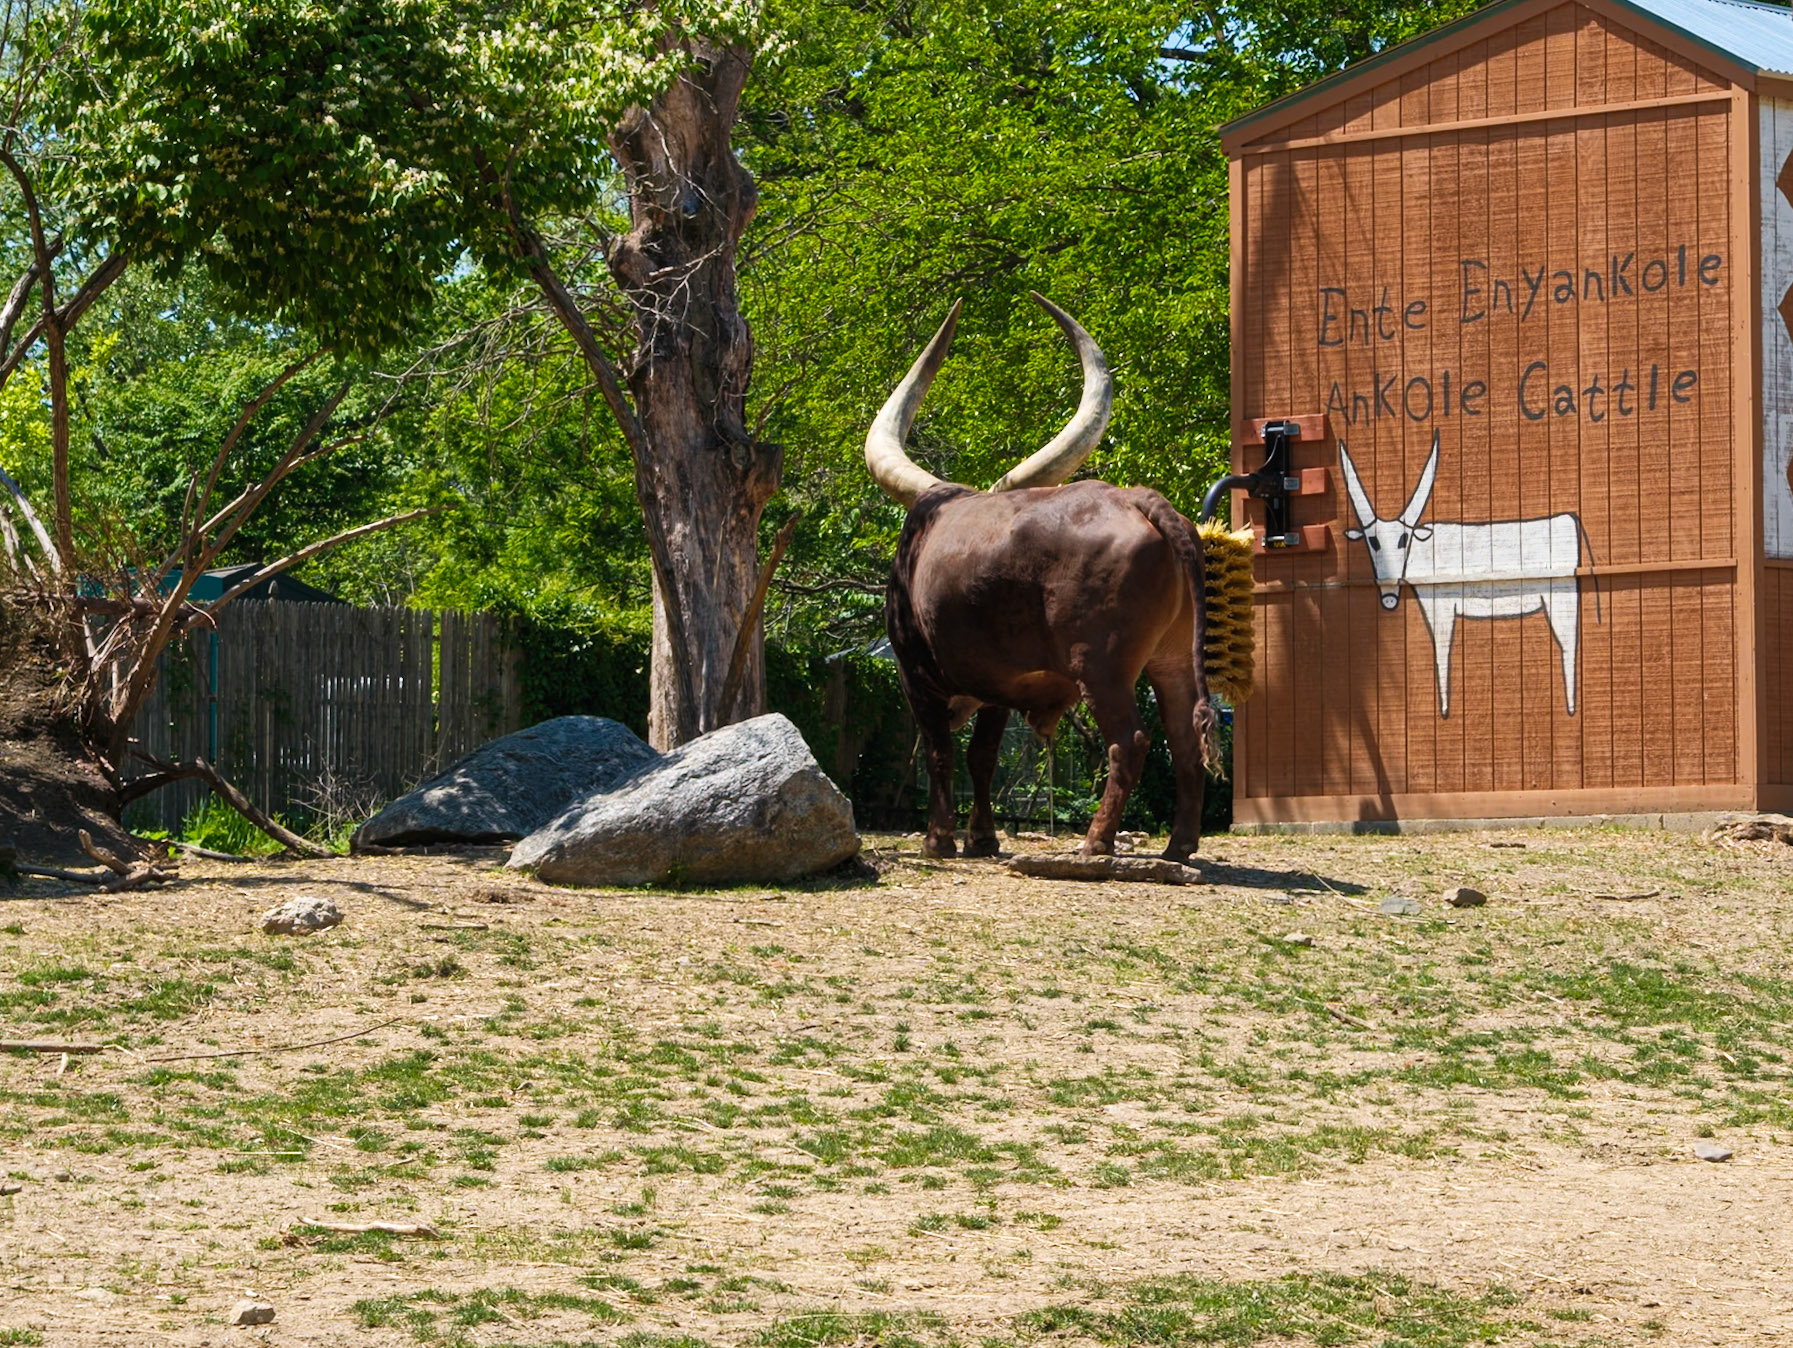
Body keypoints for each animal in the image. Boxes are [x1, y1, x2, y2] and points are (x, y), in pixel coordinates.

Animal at [866, 294, 1218, 861]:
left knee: (1130, 740)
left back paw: (1097, 841)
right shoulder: (997, 685)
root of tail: (1141, 500)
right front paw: (982, 838)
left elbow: (941, 752)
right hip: (1171, 659)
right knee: (1184, 736)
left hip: (1100, 666)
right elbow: (982, 756)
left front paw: (939, 839)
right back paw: (1178, 846)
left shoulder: (914, 672)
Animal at [1340, 431, 1596, 717]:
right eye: (1372, 541)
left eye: (1403, 539)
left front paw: (1444, 709)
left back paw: (1571, 707)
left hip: (1561, 599)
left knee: (1568, 645)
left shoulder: (1441, 608)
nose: (1388, 596)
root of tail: (1570, 520)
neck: (1422, 552)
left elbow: (1442, 651)